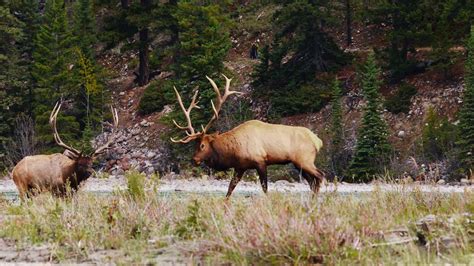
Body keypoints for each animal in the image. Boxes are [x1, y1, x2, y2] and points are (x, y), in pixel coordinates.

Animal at [172, 75, 324, 197]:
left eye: (202, 145)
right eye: (195, 144)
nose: (194, 159)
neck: (233, 150)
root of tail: (318, 141)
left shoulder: (260, 160)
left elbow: (264, 188)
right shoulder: (240, 166)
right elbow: (230, 189)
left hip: (304, 159)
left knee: (320, 176)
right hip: (298, 163)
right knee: (312, 182)